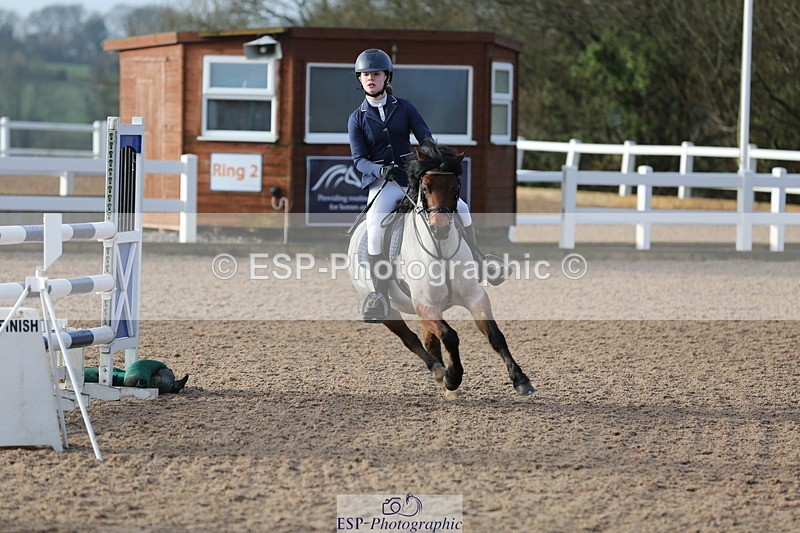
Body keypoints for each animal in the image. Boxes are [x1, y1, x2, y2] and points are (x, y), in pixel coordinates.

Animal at [347, 142, 535, 396]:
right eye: (425, 187)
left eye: (456, 187)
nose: (441, 229)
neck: (440, 249)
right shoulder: (425, 303)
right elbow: (450, 335)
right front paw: (452, 377)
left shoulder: (474, 297)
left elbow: (495, 336)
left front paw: (520, 380)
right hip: (389, 310)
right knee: (411, 339)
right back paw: (439, 371)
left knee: (428, 340)